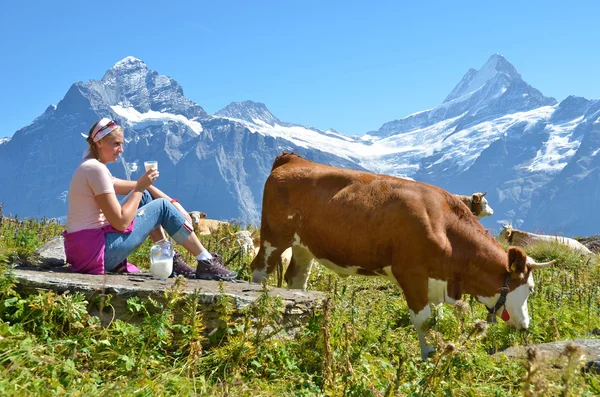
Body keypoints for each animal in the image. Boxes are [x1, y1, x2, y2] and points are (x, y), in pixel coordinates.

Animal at [251, 153, 556, 358]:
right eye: (530, 288)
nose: (526, 326)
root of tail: (292, 159)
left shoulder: (436, 281)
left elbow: (435, 318)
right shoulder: (411, 274)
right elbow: (423, 321)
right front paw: (429, 356)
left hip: (304, 246)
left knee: (296, 278)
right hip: (274, 236)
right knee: (259, 270)